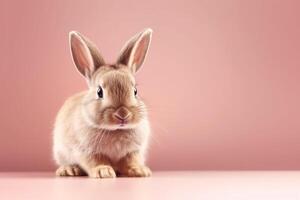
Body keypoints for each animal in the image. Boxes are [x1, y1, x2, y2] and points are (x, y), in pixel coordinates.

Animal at [51, 28, 154, 178]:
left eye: (135, 91)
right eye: (99, 92)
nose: (123, 113)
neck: (116, 131)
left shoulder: (133, 151)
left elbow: (130, 161)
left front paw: (140, 170)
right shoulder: (86, 151)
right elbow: (95, 161)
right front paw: (104, 172)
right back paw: (69, 170)